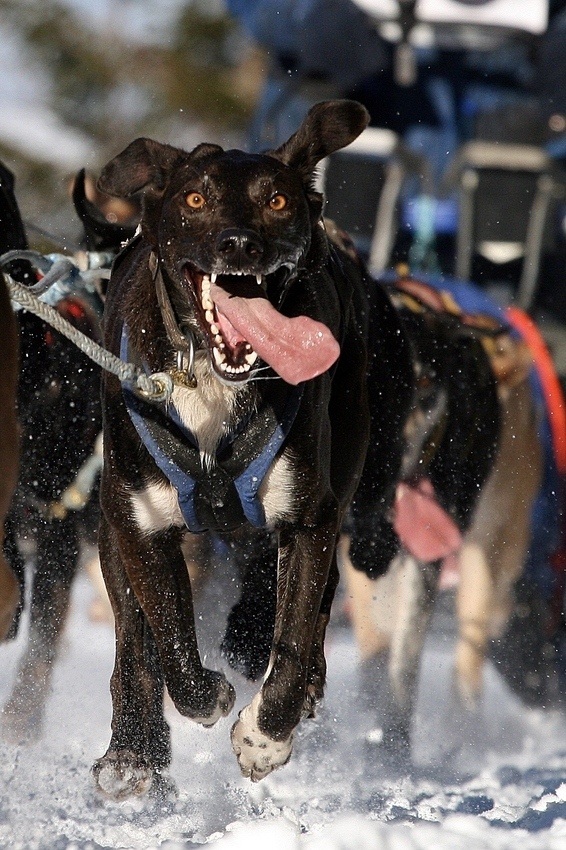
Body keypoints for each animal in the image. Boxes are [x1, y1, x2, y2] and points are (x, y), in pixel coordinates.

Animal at [91, 102, 414, 800]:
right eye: (195, 199)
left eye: (276, 200)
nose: (238, 243)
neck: (212, 385)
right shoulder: (138, 524)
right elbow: (168, 642)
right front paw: (202, 698)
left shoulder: (310, 516)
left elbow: (291, 636)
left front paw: (265, 738)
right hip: (113, 521)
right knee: (132, 639)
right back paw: (132, 749)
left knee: (310, 608)